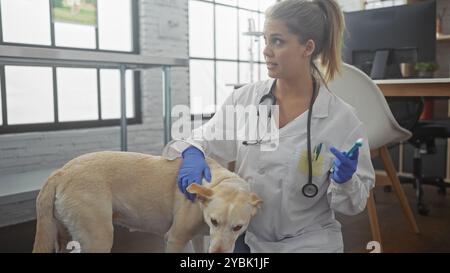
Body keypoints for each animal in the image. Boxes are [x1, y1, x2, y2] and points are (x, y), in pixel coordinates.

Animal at [31, 150, 262, 252]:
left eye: (238, 227)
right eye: (214, 221)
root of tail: (61, 172)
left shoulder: (197, 237)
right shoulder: (175, 239)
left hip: (62, 235)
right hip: (99, 239)